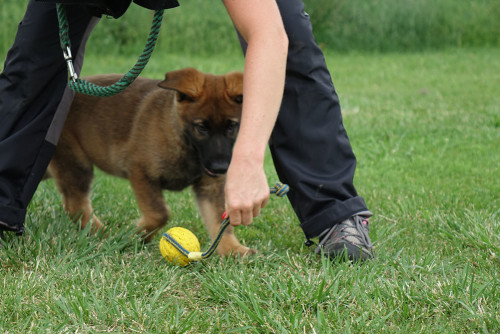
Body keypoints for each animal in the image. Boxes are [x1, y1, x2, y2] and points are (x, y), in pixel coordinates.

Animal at [45, 67, 254, 256]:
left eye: (232, 126)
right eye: (201, 128)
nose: (221, 168)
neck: (180, 137)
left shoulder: (209, 186)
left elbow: (220, 222)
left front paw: (232, 249)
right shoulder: (140, 171)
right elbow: (159, 213)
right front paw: (134, 236)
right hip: (74, 163)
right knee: (76, 206)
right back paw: (104, 235)